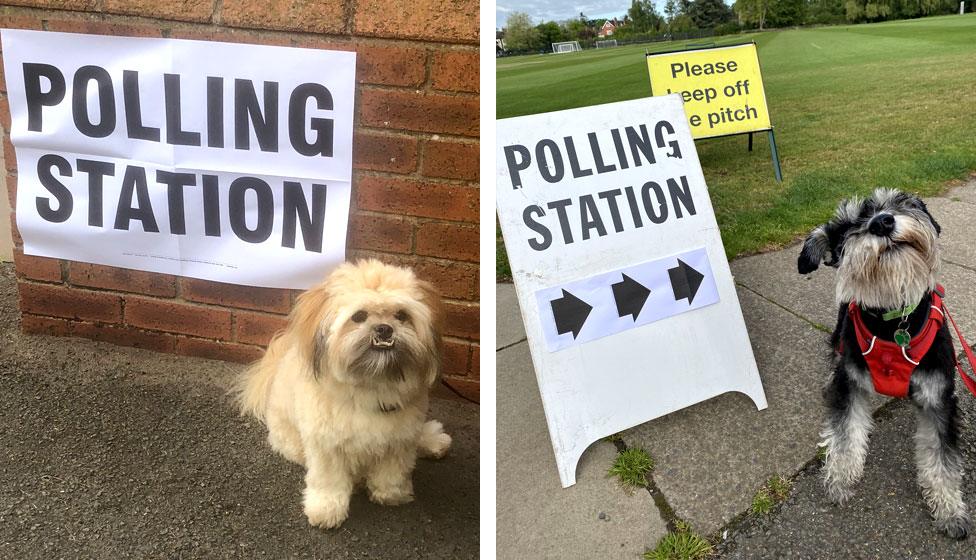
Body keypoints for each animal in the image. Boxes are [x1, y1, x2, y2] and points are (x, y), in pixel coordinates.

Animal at [238, 260, 452, 528]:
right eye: (359, 316)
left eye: (402, 315)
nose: (384, 329)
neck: (370, 388)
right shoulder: (327, 446)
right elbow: (329, 481)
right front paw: (326, 510)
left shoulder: (398, 440)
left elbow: (392, 471)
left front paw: (391, 494)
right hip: (293, 444)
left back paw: (433, 441)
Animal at [796, 187, 964, 540]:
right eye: (848, 226)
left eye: (898, 202)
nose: (882, 222)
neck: (892, 321)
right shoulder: (850, 385)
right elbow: (845, 435)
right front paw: (840, 479)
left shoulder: (939, 398)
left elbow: (942, 458)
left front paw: (950, 510)